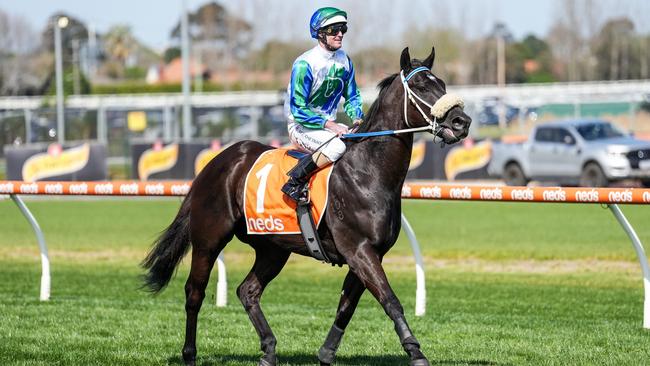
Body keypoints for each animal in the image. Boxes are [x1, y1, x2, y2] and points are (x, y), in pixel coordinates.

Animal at [142, 45, 468, 366]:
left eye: (442, 85)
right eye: (421, 86)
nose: (461, 122)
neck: (368, 172)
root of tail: (216, 162)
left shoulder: (369, 254)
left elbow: (346, 308)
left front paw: (326, 354)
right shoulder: (359, 250)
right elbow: (390, 301)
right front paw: (415, 352)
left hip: (273, 248)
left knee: (248, 291)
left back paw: (269, 349)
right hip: (209, 239)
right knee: (194, 293)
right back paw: (189, 354)